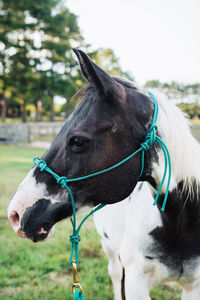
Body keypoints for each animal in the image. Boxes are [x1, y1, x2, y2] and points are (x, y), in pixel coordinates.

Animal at [7, 48, 200, 298]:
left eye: (78, 141)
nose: (16, 213)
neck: (182, 224)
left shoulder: (193, 285)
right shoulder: (136, 281)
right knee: (116, 275)